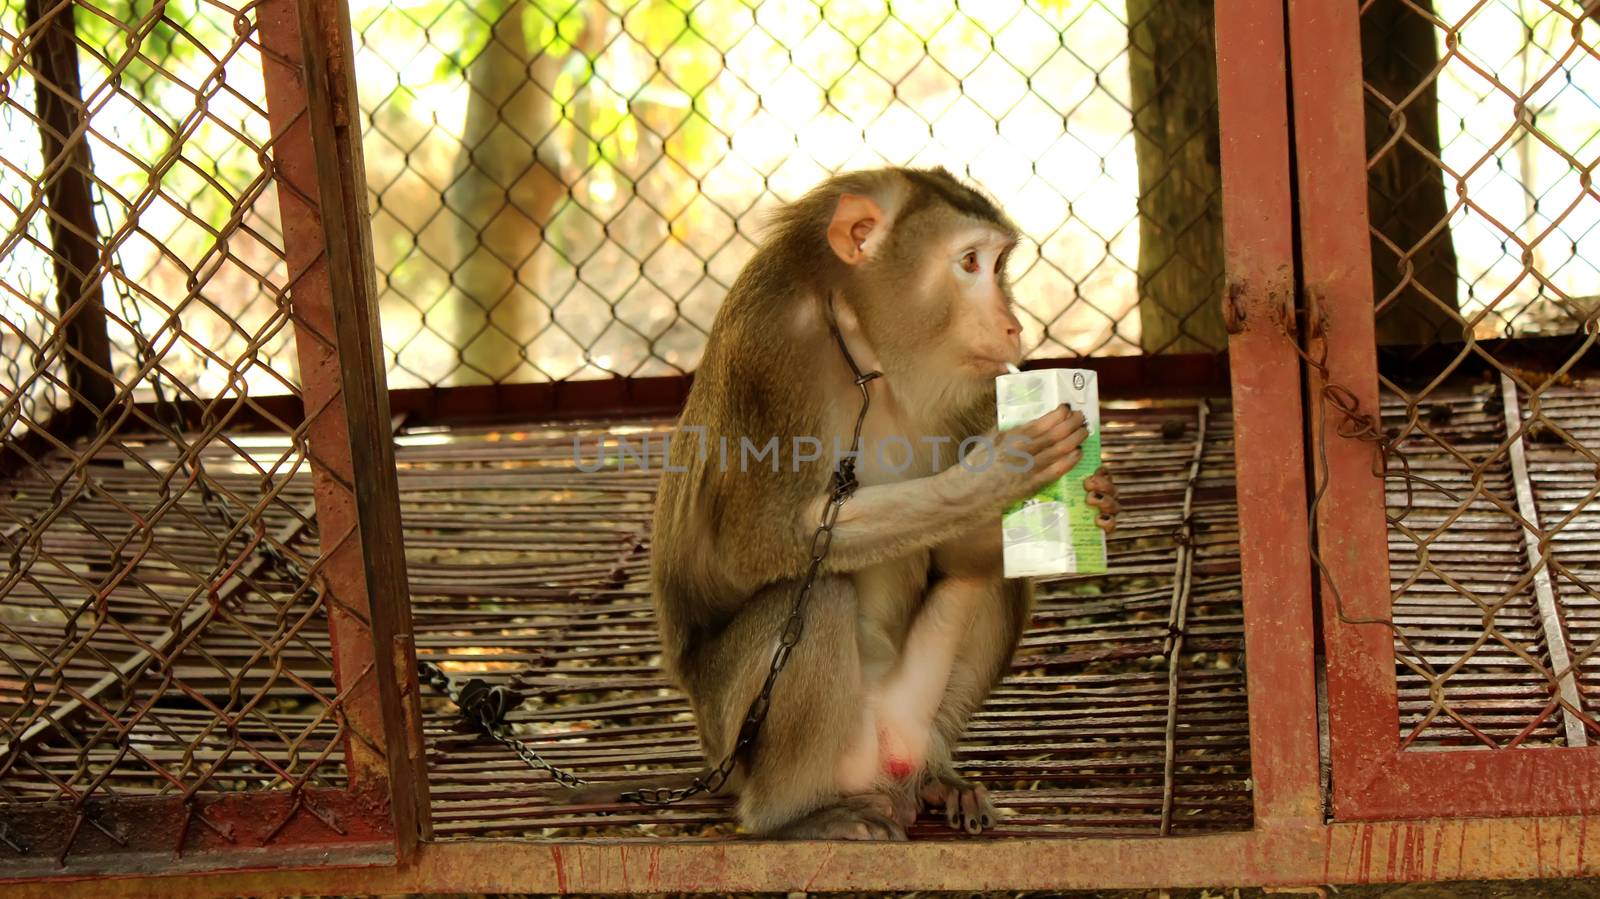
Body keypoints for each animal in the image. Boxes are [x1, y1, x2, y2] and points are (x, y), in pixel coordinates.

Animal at [582, 164, 1120, 838]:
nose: (1013, 326)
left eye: (999, 264)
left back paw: (938, 775)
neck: (868, 353)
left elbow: (961, 554)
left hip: (907, 710)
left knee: (987, 574)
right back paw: (789, 817)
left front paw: (1095, 492)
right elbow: (752, 545)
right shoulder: (770, 353)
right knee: (816, 598)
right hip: (736, 740)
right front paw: (994, 476)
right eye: (969, 262)